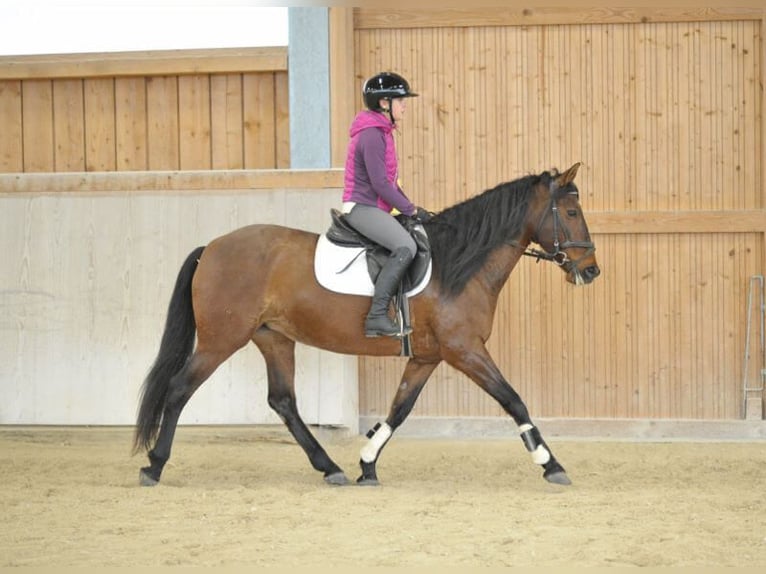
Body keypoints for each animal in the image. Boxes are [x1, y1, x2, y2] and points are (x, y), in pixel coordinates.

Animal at [134, 163, 600, 490]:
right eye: (571, 211)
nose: (591, 270)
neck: (456, 266)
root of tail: (211, 248)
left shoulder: (428, 356)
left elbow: (399, 409)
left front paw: (367, 464)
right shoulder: (465, 349)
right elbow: (513, 400)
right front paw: (551, 465)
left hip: (274, 339)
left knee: (283, 401)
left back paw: (330, 468)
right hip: (221, 339)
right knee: (179, 389)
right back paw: (154, 465)